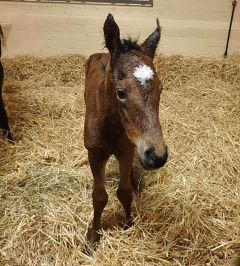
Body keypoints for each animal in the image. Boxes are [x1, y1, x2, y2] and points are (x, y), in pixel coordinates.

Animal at [83, 14, 168, 247]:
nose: (157, 155)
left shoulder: (128, 150)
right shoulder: (95, 154)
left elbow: (124, 192)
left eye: (161, 89)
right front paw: (93, 237)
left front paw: (128, 225)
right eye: (121, 93)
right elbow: (99, 197)